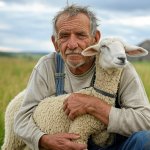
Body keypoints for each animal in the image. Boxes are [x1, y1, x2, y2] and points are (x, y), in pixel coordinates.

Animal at [2, 37, 148, 150]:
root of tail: (19, 95)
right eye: (104, 46)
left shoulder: (101, 136)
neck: (97, 95)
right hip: (13, 136)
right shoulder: (78, 131)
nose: (122, 58)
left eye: (124, 48)